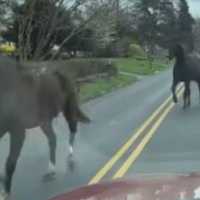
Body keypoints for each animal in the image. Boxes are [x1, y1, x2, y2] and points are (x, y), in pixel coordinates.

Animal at [0, 55, 90, 200]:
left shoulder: (18, 131)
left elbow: (10, 162)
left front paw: (5, 192)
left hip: (68, 111)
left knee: (72, 131)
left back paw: (69, 157)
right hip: (45, 122)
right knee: (53, 140)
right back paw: (51, 171)